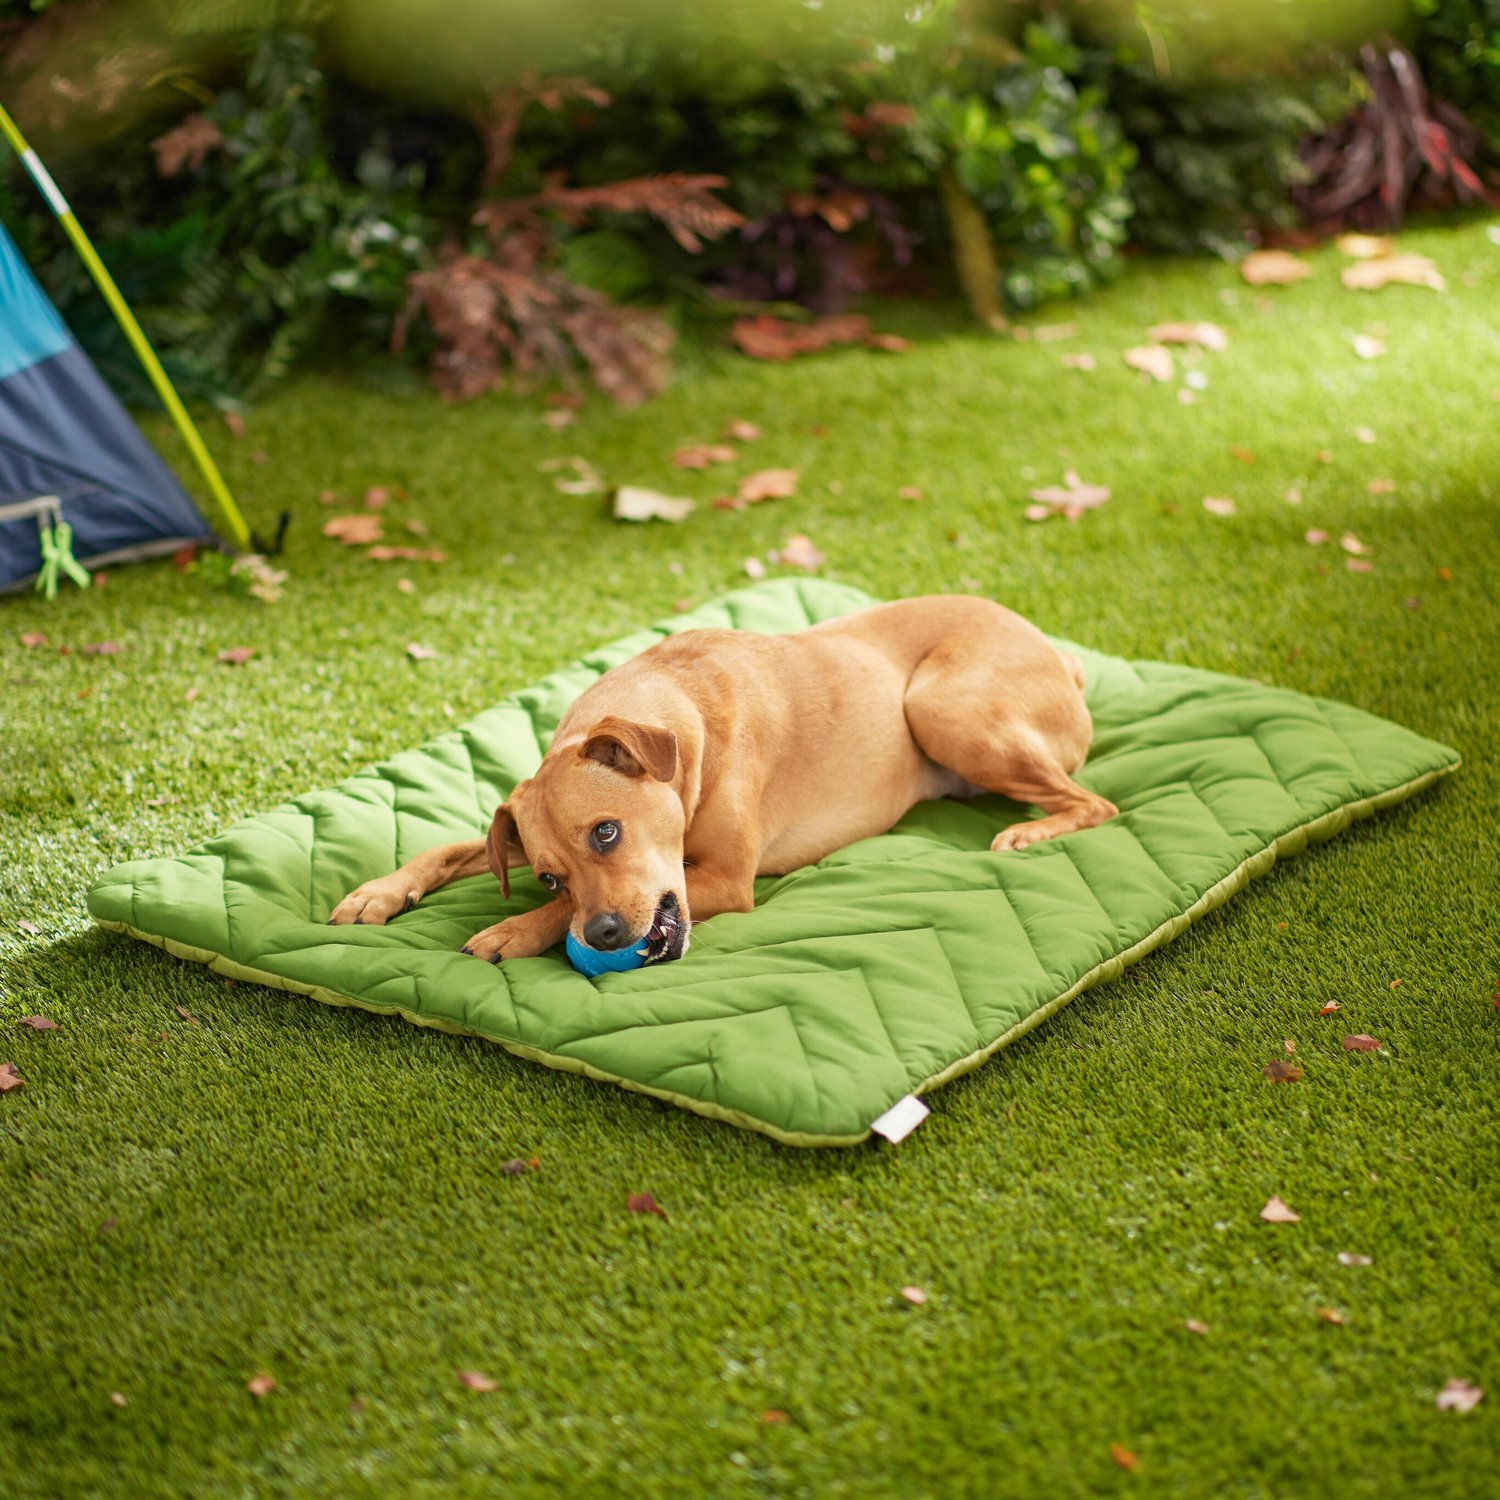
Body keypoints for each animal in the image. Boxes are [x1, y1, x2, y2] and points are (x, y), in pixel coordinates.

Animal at [328, 597, 1116, 960]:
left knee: (1097, 803)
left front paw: (515, 930)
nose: (605, 934)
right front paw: (378, 893)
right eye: (550, 875)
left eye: (607, 833)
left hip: (940, 706)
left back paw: (1029, 834)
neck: (679, 728)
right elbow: (449, 847)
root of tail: (1059, 653)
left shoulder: (729, 881)